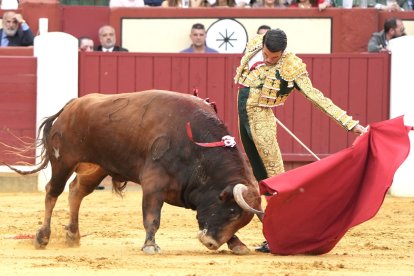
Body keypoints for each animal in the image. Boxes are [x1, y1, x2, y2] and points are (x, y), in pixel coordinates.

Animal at [4, 90, 264, 254]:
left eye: (241, 219)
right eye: (231, 211)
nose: (210, 243)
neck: (195, 144)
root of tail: (71, 106)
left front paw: (237, 243)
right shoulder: (154, 183)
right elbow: (152, 216)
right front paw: (150, 245)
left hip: (95, 168)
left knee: (76, 191)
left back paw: (73, 236)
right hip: (63, 161)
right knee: (52, 192)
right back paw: (42, 237)